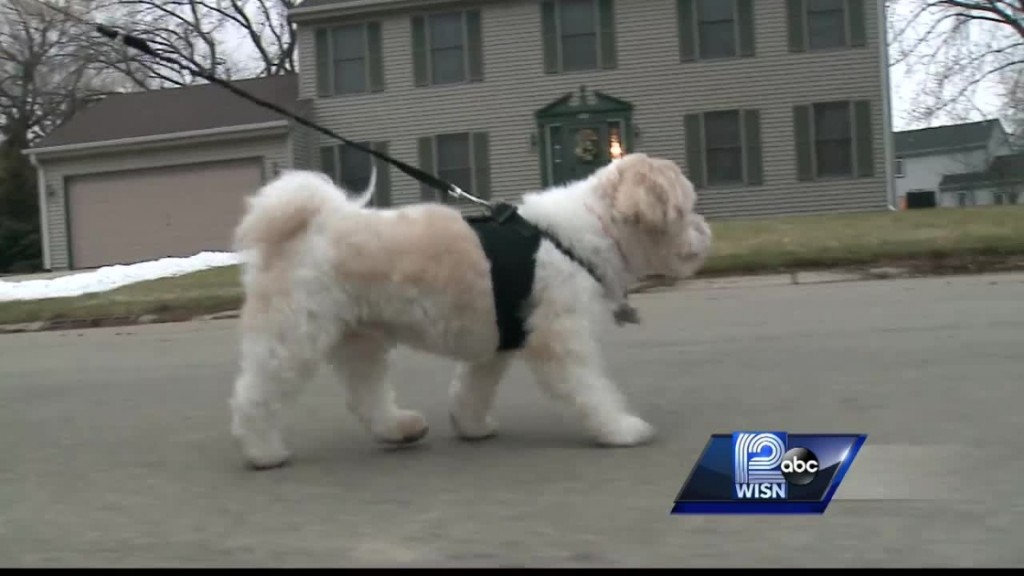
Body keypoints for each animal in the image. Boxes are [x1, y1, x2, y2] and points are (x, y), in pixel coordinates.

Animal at [232, 152, 712, 467]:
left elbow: (472, 389)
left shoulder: (498, 343)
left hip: (359, 338)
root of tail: (304, 226)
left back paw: (399, 426)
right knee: (256, 394)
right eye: (686, 208)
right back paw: (262, 451)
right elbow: (590, 389)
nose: (707, 230)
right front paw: (620, 428)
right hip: (293, 336)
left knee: (365, 394)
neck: (587, 231)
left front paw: (471, 425)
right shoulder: (560, 337)